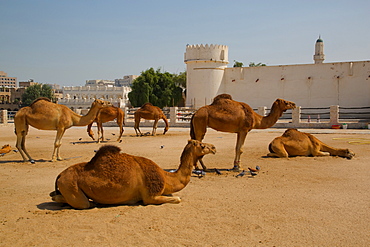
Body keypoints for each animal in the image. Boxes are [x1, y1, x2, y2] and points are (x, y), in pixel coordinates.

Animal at [49, 140, 217, 209]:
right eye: (202, 145)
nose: (214, 147)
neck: (166, 177)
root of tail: (59, 175)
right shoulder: (150, 196)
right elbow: (177, 199)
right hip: (71, 186)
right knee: (83, 203)